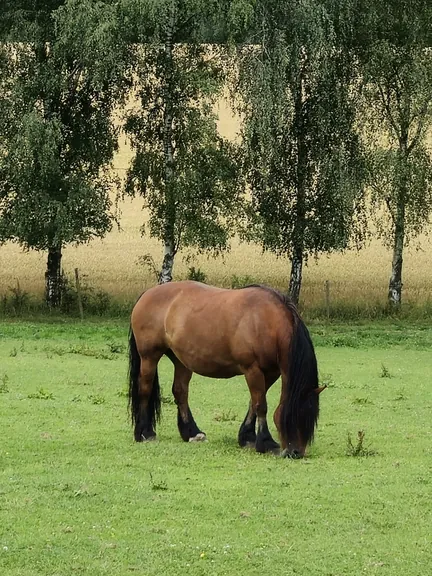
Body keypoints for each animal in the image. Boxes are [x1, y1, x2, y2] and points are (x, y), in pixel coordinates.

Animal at [126, 280, 326, 460]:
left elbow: (253, 403)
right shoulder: (252, 369)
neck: (266, 321)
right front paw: (266, 442)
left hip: (181, 361)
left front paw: (247, 438)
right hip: (149, 357)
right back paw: (145, 433)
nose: (296, 452)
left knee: (180, 392)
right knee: (145, 389)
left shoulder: (271, 373)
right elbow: (261, 405)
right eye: (295, 414)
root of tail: (147, 293)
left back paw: (192, 432)